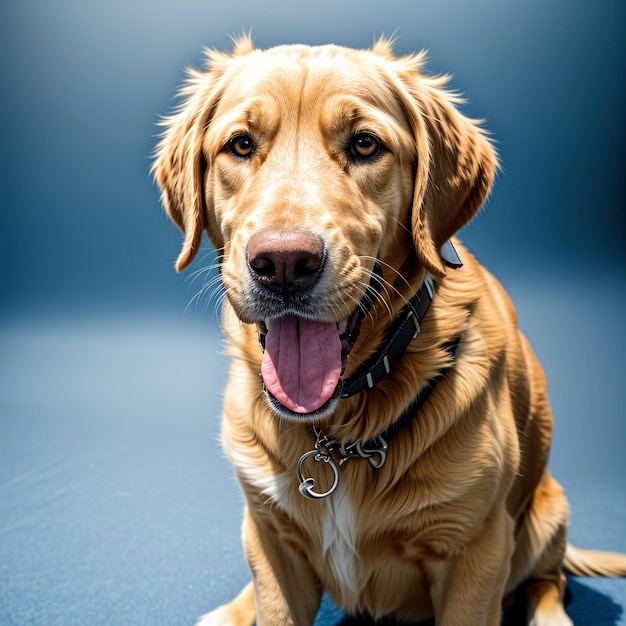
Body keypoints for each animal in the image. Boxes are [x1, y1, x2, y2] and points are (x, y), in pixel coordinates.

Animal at [152, 37, 624, 624]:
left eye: (364, 144)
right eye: (240, 144)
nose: (283, 264)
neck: (337, 435)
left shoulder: (475, 552)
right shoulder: (271, 541)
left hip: (545, 516)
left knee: (548, 579)